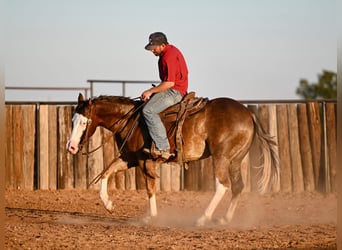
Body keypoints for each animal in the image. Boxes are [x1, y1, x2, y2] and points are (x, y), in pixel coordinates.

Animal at [66, 93, 278, 226]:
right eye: (73, 120)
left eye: (84, 122)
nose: (71, 147)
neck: (130, 120)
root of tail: (248, 113)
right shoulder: (129, 158)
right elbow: (105, 173)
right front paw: (109, 205)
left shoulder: (145, 161)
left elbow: (150, 189)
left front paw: (151, 217)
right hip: (235, 160)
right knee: (237, 186)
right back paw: (224, 219)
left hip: (222, 157)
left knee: (223, 185)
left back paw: (202, 219)